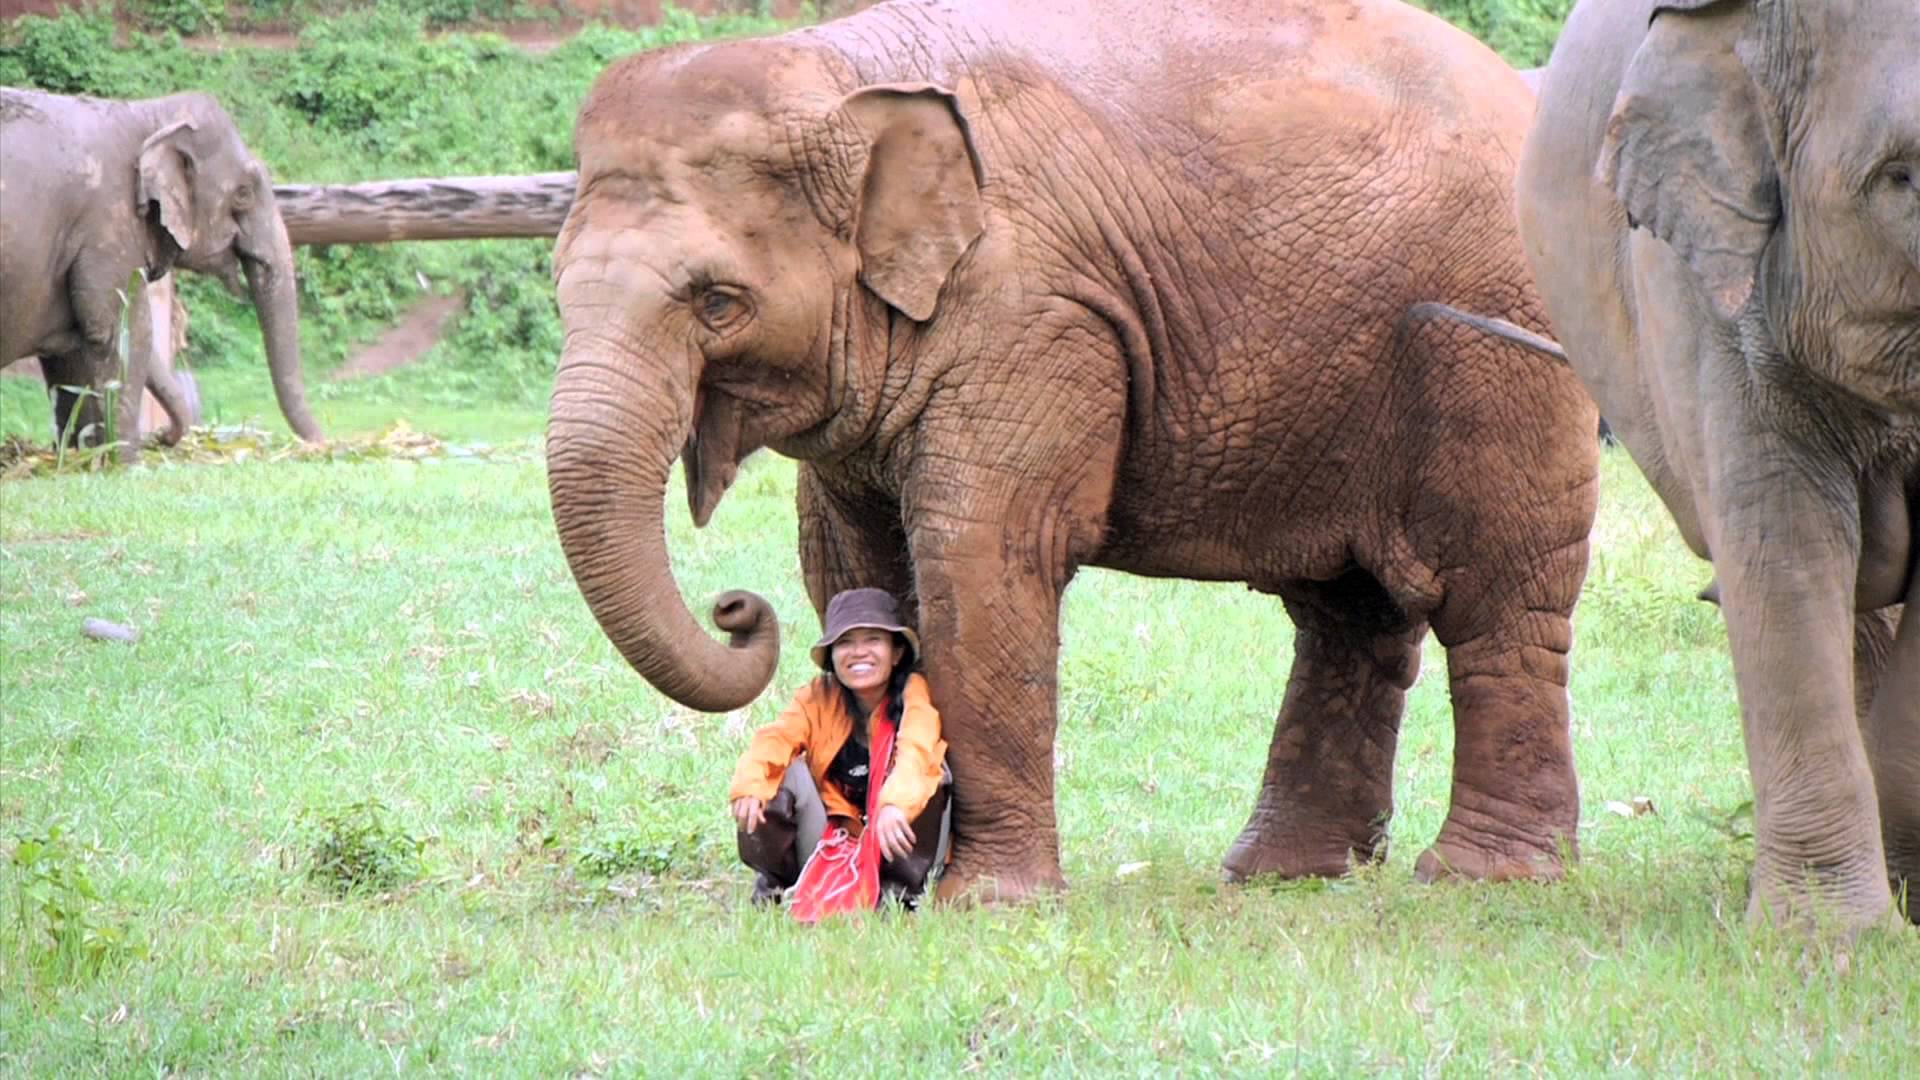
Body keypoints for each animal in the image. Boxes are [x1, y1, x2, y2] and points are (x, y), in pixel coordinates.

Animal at [0, 89, 322, 458]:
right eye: (243, 193)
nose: (164, 436)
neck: (146, 113)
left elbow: (72, 351)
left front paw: (83, 457)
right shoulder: (108, 230)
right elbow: (126, 332)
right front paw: (125, 462)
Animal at [546, 0, 1600, 902]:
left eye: (719, 302)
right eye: (556, 288)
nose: (734, 609)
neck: (842, 72)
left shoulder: (1035, 314)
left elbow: (985, 554)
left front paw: (988, 902)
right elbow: (851, 561)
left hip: (1499, 345)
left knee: (1495, 597)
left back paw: (1481, 878)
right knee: (1346, 611)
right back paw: (1282, 874)